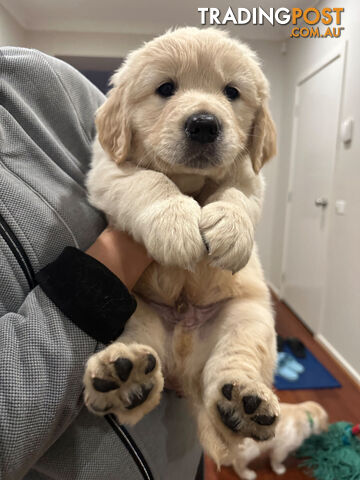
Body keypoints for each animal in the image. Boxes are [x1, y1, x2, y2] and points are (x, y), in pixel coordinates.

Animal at [83, 28, 278, 464]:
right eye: (165, 89)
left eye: (231, 92)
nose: (204, 124)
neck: (190, 178)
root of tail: (184, 369)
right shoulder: (109, 170)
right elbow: (150, 181)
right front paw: (175, 224)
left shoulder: (251, 176)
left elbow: (236, 193)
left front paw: (230, 229)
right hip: (136, 310)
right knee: (141, 361)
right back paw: (124, 376)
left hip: (247, 317)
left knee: (232, 366)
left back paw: (244, 402)